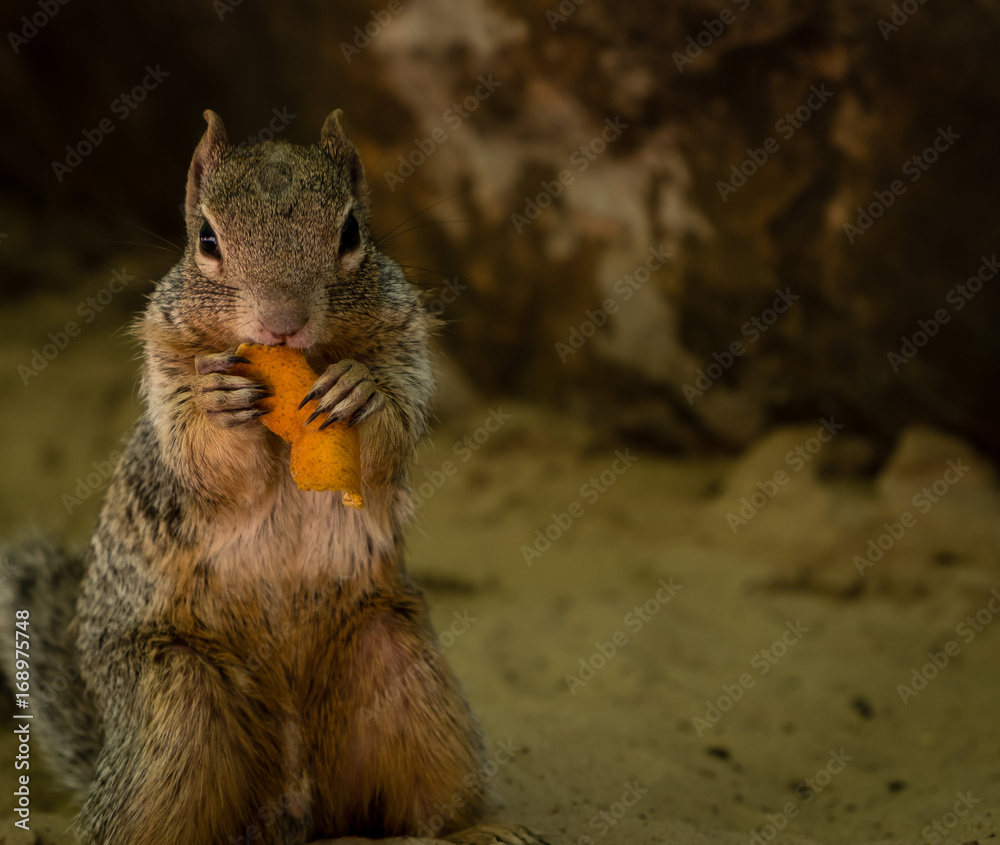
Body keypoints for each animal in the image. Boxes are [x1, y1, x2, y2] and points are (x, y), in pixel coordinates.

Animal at [1, 110, 545, 845]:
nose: (282, 325)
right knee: (136, 814)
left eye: (351, 233)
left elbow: (394, 423)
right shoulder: (166, 368)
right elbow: (204, 457)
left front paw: (356, 388)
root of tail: (292, 803)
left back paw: (480, 829)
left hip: (408, 677)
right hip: (171, 707)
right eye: (206, 238)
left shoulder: (407, 346)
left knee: (428, 799)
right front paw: (219, 402)